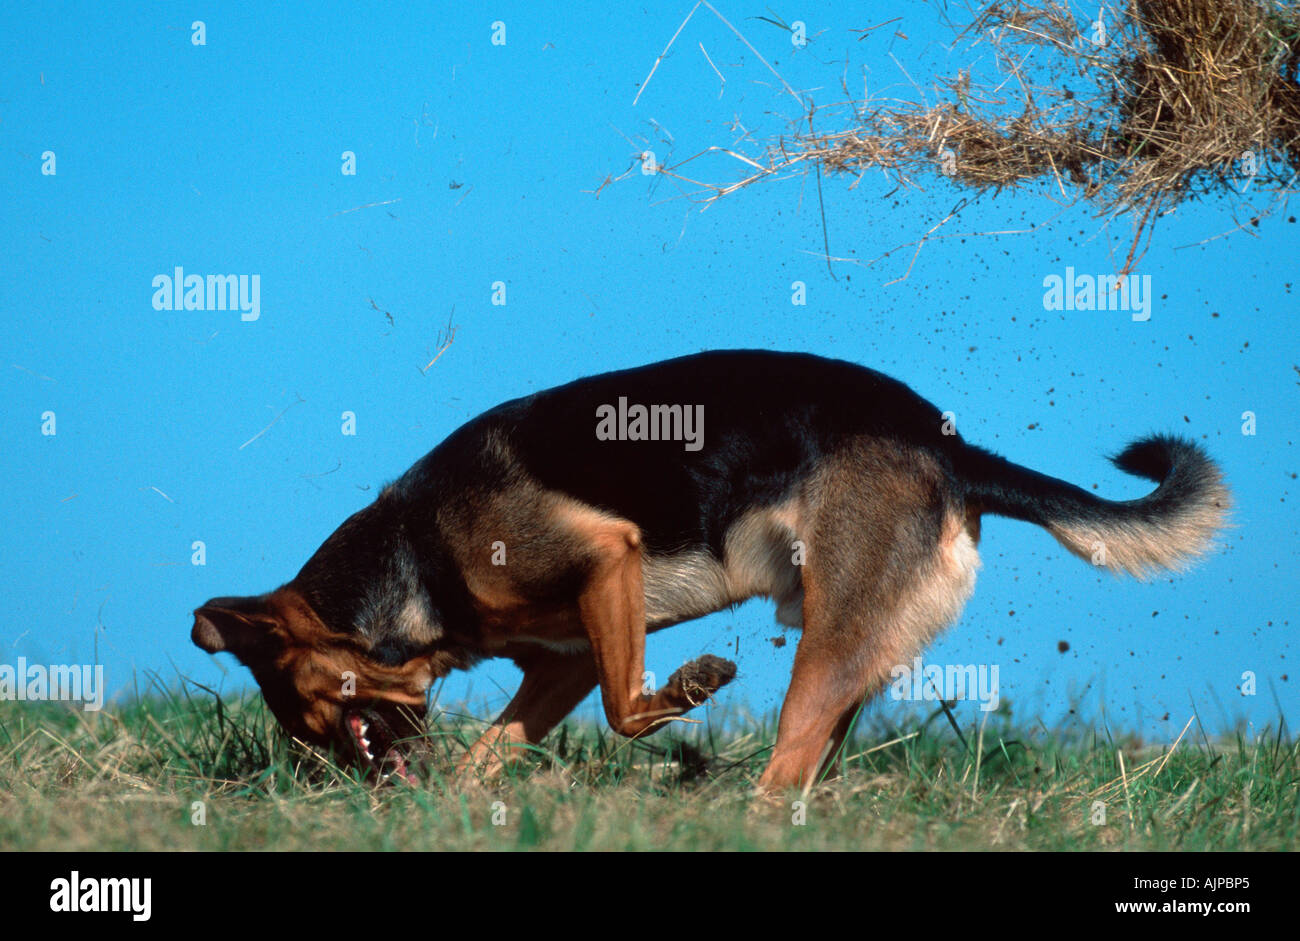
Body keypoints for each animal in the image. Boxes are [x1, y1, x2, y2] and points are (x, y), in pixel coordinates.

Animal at [185, 348, 1227, 790]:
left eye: (311, 709)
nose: (353, 791)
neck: (414, 553)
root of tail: (952, 452)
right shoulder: (564, 655)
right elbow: (502, 742)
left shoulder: (606, 562)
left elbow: (625, 707)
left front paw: (689, 686)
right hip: (859, 652)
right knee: (807, 768)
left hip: (827, 647)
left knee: (785, 762)